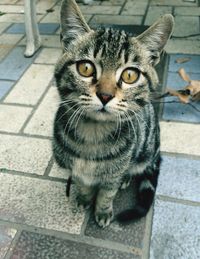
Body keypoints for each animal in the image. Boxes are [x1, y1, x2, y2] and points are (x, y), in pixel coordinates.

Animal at [52, 0, 173, 228]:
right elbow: (83, 184)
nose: (105, 95)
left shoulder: (113, 175)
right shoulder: (77, 170)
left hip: (145, 152)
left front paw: (102, 210)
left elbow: (107, 193)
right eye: (85, 68)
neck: (92, 134)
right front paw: (84, 198)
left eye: (130, 75)